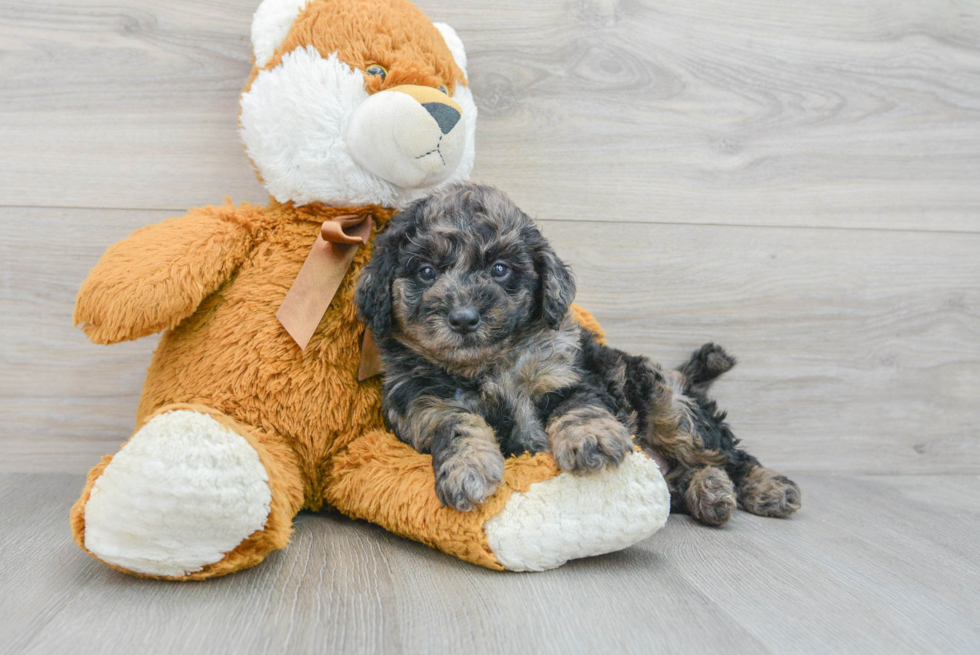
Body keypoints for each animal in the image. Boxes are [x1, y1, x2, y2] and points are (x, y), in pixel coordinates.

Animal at [356, 182, 800, 524]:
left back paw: (768, 488)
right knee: (684, 478)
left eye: (500, 269)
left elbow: (579, 406)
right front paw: (468, 469)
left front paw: (591, 440)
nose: (464, 319)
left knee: (731, 454)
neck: (487, 366)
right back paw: (710, 491)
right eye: (426, 272)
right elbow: (457, 426)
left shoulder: (567, 373)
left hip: (668, 403)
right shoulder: (425, 404)